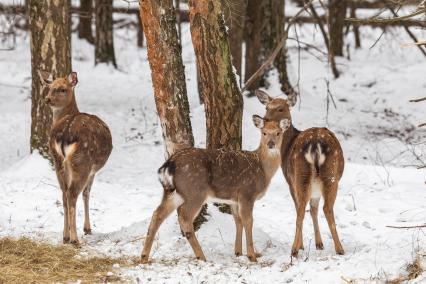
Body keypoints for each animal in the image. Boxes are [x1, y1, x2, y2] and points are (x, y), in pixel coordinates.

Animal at [40, 71, 112, 246]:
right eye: (49, 87)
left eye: (62, 89)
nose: (47, 99)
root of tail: (66, 133)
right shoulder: (93, 171)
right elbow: (87, 193)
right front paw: (87, 228)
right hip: (82, 161)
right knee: (72, 194)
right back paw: (75, 239)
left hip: (57, 161)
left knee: (64, 193)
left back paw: (65, 236)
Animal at [141, 115, 290, 264]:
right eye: (264, 132)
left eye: (278, 132)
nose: (270, 144)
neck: (263, 169)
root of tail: (169, 164)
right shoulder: (247, 193)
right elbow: (248, 221)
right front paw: (252, 256)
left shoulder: (234, 199)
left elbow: (238, 221)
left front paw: (238, 252)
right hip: (195, 191)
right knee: (184, 217)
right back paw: (201, 256)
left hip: (172, 192)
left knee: (157, 214)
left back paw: (144, 257)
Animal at [256, 90, 346, 258]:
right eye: (266, 107)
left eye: (280, 108)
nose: (266, 119)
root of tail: (315, 145)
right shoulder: (315, 189)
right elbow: (314, 209)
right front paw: (319, 244)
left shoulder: (290, 181)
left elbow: (302, 208)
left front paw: (303, 245)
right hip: (330, 175)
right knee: (326, 208)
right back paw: (340, 248)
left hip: (301, 176)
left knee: (301, 210)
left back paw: (294, 249)